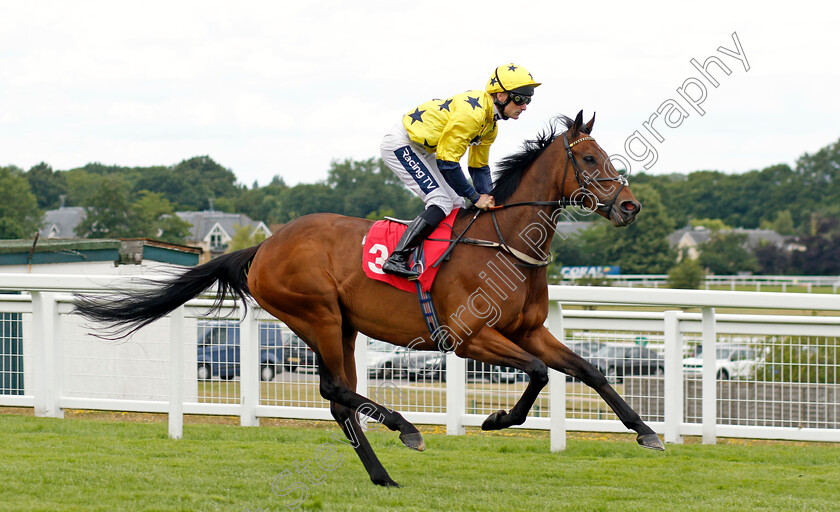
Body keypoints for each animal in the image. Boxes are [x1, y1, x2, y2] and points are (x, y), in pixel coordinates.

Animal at [74, 110, 664, 486]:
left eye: (605, 155)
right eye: (590, 159)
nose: (630, 206)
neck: (503, 241)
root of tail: (264, 246)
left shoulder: (529, 331)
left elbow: (590, 370)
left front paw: (647, 433)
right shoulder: (469, 337)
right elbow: (540, 374)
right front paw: (496, 420)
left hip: (345, 325)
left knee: (339, 398)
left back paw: (383, 476)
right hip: (315, 314)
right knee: (335, 388)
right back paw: (407, 430)